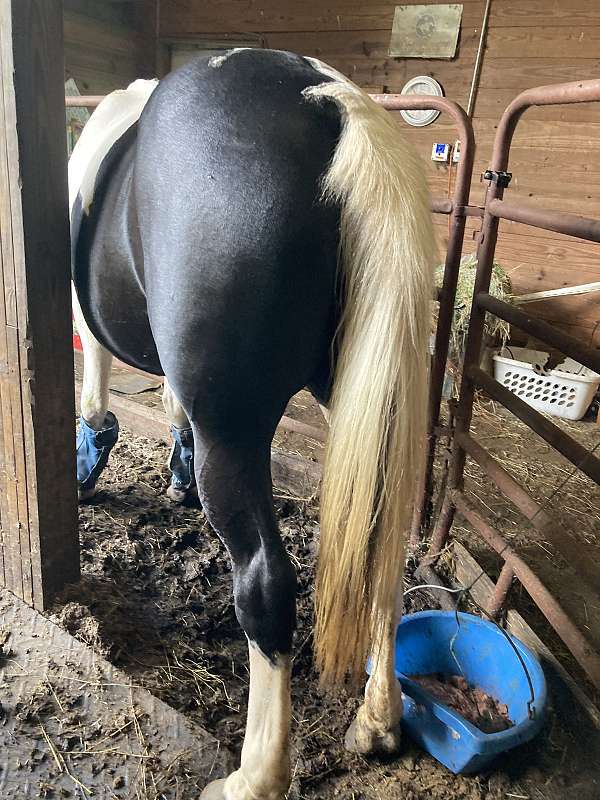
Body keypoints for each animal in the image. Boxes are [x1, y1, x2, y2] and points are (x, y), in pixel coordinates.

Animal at [70, 50, 436, 800]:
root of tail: (326, 102)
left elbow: (94, 394)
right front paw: (175, 476)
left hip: (235, 437)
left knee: (266, 584)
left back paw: (254, 776)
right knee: (381, 555)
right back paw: (378, 720)